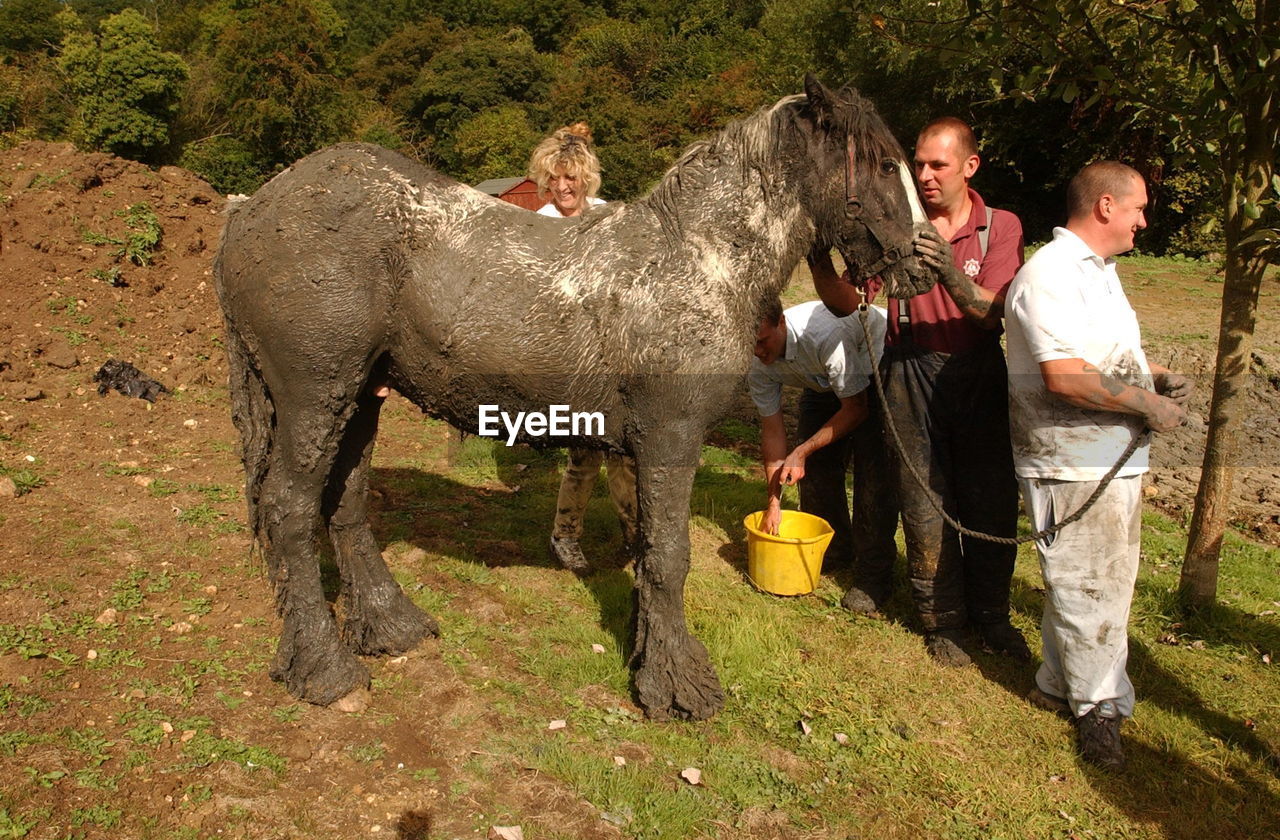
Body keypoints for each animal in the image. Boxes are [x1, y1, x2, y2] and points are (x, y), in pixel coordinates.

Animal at [209, 75, 931, 722]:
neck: (696, 261)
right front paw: (678, 689)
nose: (924, 263)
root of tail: (251, 208)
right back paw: (325, 670)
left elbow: (648, 551)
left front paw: (647, 656)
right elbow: (670, 556)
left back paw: (391, 626)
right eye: (884, 164)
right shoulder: (671, 437)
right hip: (315, 397)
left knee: (346, 503)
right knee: (289, 511)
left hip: (360, 398)